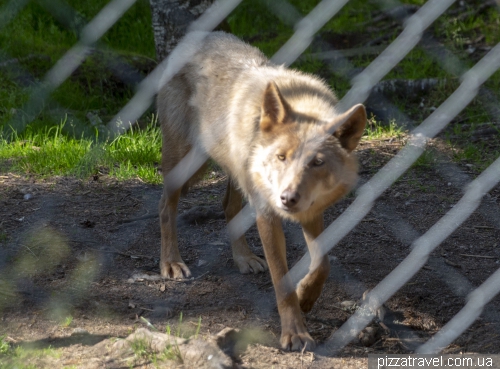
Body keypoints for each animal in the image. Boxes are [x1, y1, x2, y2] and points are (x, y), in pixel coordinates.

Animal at [158, 30, 366, 350]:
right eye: (281, 157)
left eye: (317, 162)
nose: (287, 198)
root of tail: (198, 35)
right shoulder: (267, 214)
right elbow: (282, 280)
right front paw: (295, 332)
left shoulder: (310, 211)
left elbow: (322, 263)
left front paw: (306, 297)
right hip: (185, 165)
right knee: (165, 205)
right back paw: (171, 263)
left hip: (234, 173)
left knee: (228, 207)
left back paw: (243, 258)